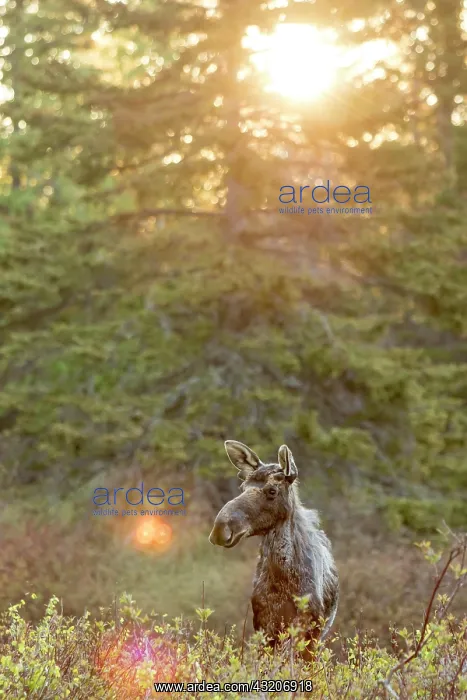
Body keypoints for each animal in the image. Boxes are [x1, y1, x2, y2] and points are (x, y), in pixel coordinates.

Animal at [209, 440, 339, 651]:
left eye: (272, 490)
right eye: (243, 487)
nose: (220, 528)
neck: (284, 581)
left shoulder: (311, 629)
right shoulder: (264, 624)